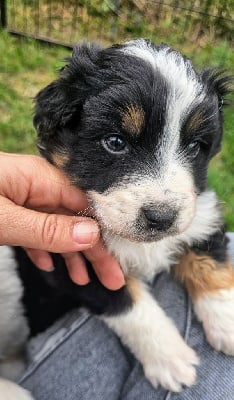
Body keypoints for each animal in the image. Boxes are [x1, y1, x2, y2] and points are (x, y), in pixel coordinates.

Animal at [0, 39, 234, 396]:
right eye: (115, 142)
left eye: (195, 147)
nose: (162, 218)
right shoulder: (75, 265)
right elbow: (130, 307)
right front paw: (171, 360)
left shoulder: (202, 213)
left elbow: (212, 265)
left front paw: (227, 322)